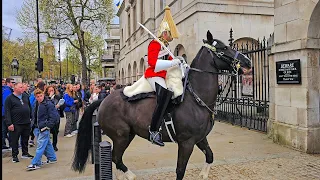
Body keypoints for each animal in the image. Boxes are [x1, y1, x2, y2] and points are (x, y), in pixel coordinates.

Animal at [72, 30, 252, 179]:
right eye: (223, 48)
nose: (248, 61)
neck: (196, 98)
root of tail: (104, 100)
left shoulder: (200, 138)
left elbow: (210, 156)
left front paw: (203, 174)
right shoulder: (186, 142)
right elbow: (180, 170)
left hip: (128, 135)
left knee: (117, 158)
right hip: (120, 136)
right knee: (116, 157)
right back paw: (131, 175)